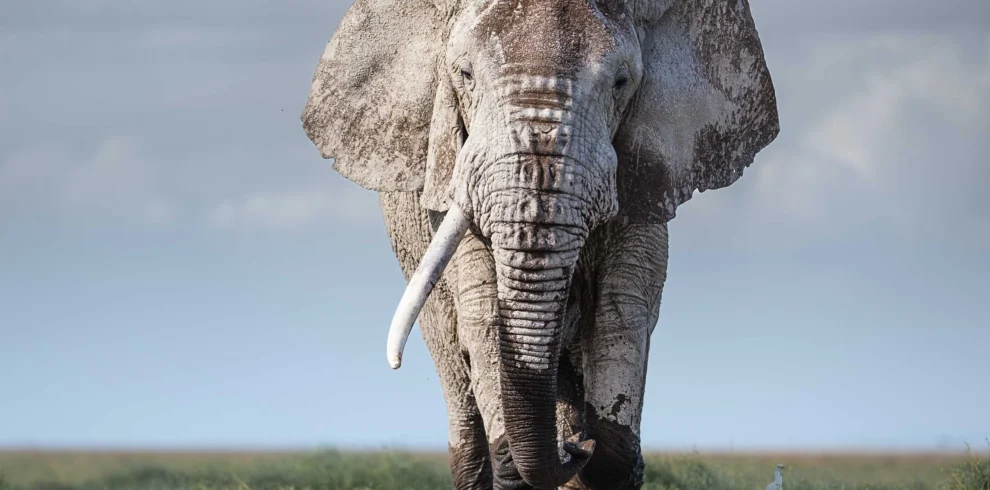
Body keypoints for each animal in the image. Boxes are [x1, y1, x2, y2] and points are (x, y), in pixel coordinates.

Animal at [300, 0, 779, 489]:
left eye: (621, 83)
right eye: (464, 74)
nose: (577, 448)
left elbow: (622, 308)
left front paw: (598, 451)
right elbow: (482, 310)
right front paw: (532, 454)